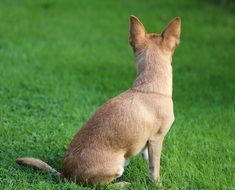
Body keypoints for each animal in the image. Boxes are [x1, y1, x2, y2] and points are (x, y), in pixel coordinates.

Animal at [16, 15, 182, 186]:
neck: (148, 85)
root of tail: (64, 175)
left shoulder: (148, 143)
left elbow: (149, 160)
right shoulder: (157, 139)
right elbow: (155, 167)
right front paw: (157, 184)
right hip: (117, 166)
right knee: (103, 186)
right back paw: (122, 184)